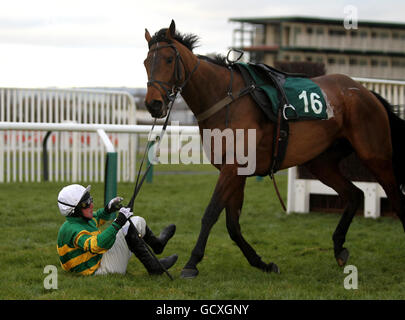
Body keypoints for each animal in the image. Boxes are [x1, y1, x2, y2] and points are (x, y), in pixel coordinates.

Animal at [141, 20, 404, 280]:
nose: (153, 104)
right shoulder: (236, 171)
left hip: (376, 156)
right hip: (321, 162)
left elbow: (211, 213)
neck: (224, 99)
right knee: (354, 194)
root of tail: (365, 91)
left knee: (395, 198)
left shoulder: (233, 167)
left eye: (168, 60)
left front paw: (192, 263)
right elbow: (232, 224)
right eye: (145, 62)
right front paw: (262, 263)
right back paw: (339, 248)